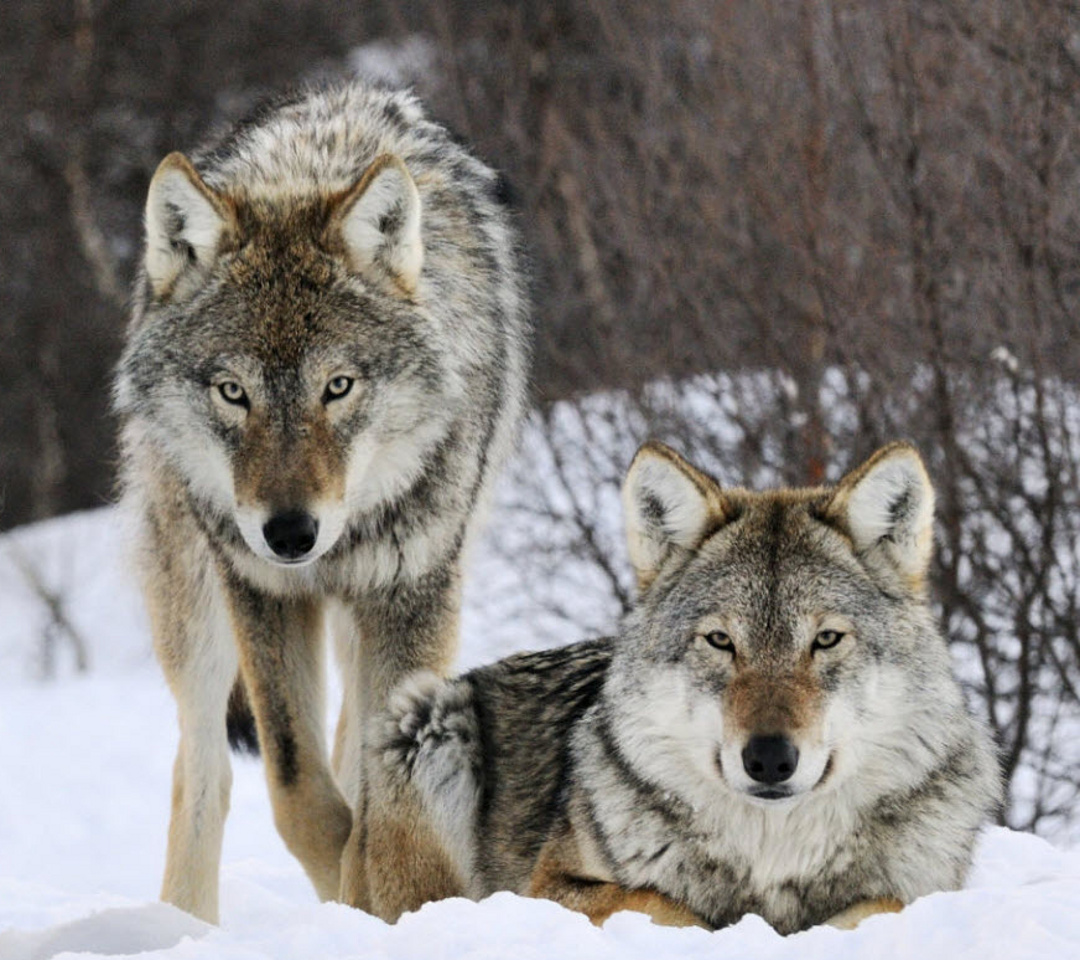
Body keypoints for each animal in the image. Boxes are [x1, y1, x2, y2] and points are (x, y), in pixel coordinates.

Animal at [113, 81, 529, 923]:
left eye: (337, 387)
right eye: (232, 392)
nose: (289, 533)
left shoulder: (413, 592)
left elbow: (376, 790)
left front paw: (379, 899)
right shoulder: (262, 591)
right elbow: (298, 788)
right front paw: (347, 888)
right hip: (193, 603)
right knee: (202, 768)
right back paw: (183, 925)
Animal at [383, 441, 1001, 934]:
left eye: (826, 639)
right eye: (721, 641)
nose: (769, 759)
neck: (772, 856)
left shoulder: (924, 890)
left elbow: (882, 905)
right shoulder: (550, 887)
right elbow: (665, 905)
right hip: (430, 719)